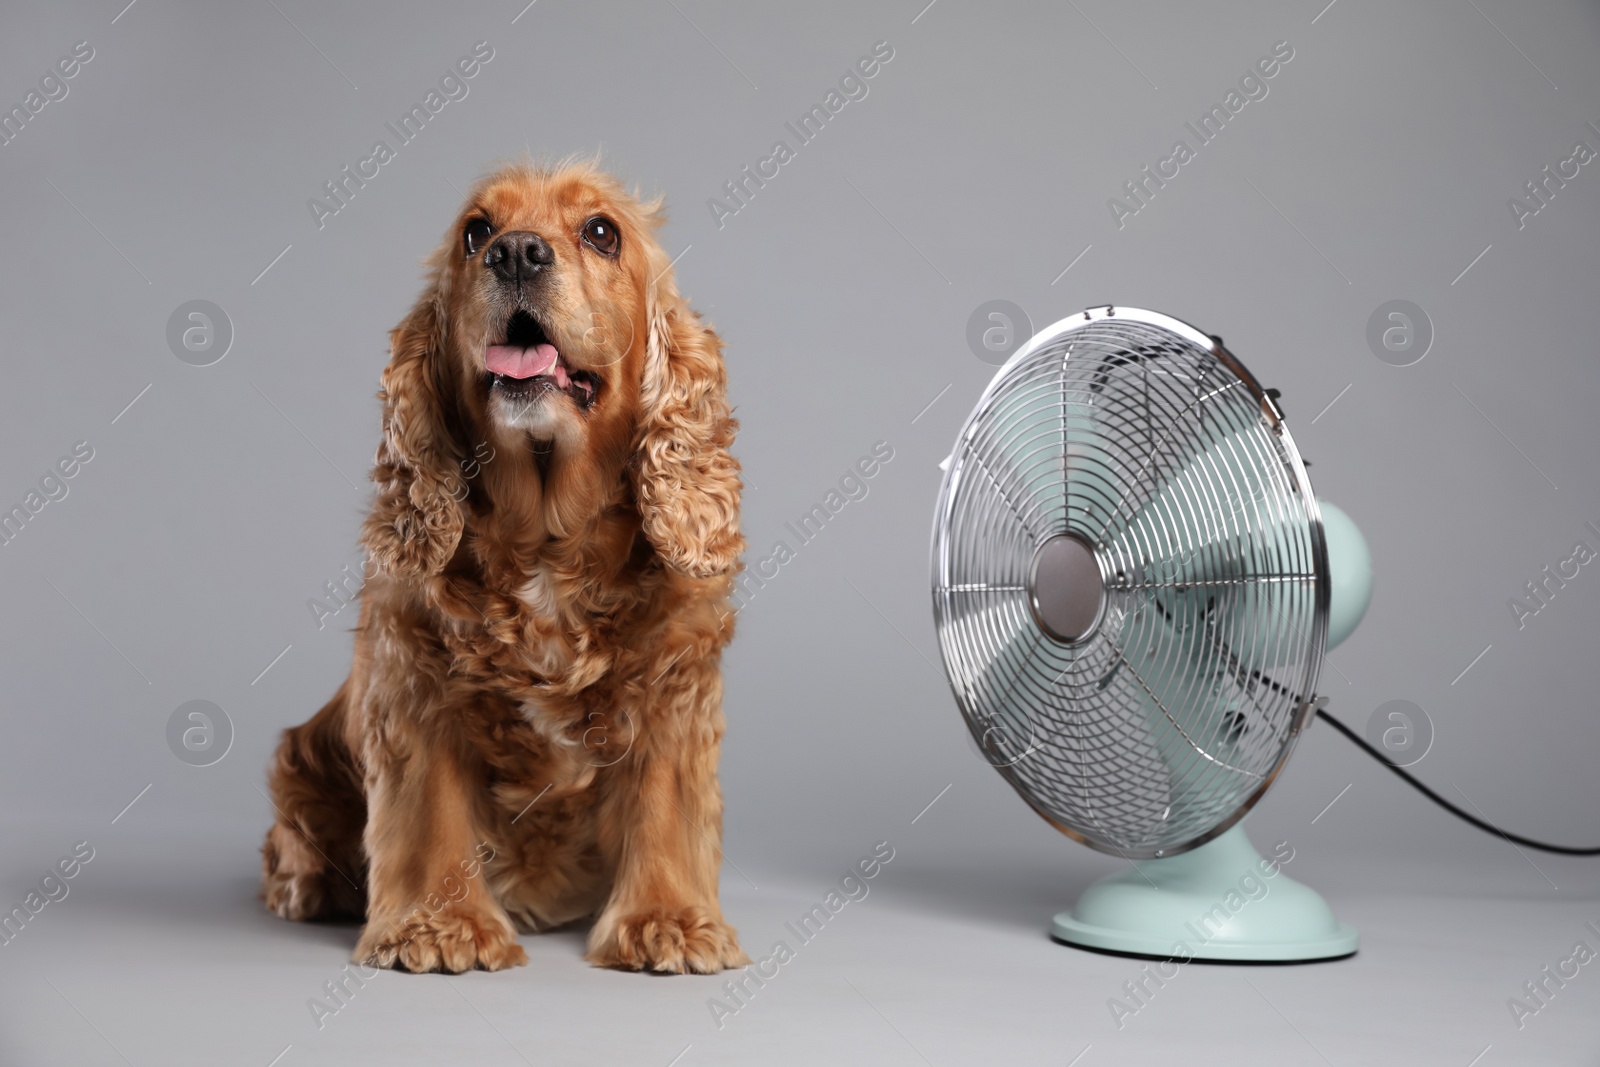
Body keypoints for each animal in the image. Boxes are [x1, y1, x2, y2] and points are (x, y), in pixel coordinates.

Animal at [260, 160, 748, 979]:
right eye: (475, 231)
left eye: (601, 232)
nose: (516, 252)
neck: (547, 540)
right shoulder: (413, 677)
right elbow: (429, 810)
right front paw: (436, 925)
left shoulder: (674, 684)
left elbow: (665, 805)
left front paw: (669, 921)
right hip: (301, 755)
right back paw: (305, 886)